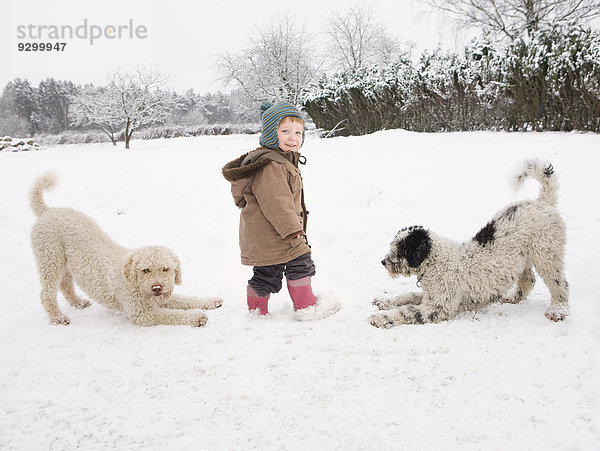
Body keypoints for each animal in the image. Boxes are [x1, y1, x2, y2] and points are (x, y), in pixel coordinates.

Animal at [368, 160, 568, 328]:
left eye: (402, 250)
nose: (383, 262)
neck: (436, 261)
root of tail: (543, 202)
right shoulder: (430, 296)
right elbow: (408, 296)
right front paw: (384, 302)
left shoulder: (438, 307)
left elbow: (406, 311)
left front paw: (380, 317)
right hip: (524, 259)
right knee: (528, 280)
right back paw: (513, 299)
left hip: (547, 255)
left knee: (560, 284)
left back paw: (558, 311)